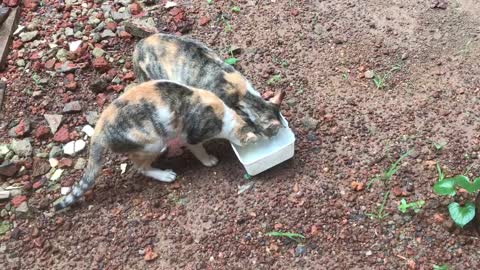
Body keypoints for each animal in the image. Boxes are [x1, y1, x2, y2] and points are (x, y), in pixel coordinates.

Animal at [54, 79, 284, 210]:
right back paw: (164, 175)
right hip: (152, 140)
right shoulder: (191, 136)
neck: (225, 115)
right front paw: (209, 160)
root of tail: (99, 130)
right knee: (140, 166)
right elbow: (198, 149)